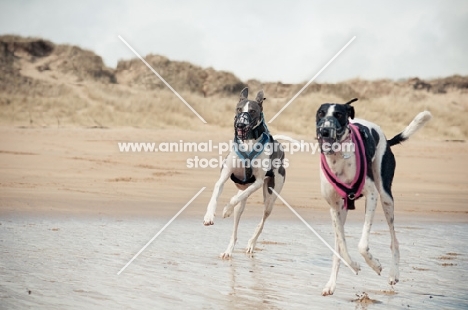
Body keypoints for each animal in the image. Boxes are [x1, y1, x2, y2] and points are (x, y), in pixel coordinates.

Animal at [205, 87, 288, 260]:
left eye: (252, 111)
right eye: (238, 109)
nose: (241, 125)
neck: (248, 143)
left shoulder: (257, 182)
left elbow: (236, 198)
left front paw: (226, 209)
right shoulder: (223, 177)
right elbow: (215, 195)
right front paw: (209, 216)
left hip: (270, 198)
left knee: (262, 220)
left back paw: (251, 243)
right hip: (242, 208)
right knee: (235, 229)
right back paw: (229, 250)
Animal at [316, 98, 434, 296]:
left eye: (339, 114)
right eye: (320, 114)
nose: (325, 131)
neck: (339, 158)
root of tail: (385, 138)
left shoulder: (372, 196)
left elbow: (362, 246)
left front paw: (375, 265)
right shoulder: (334, 207)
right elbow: (343, 249)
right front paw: (354, 266)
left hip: (386, 197)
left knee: (394, 241)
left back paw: (394, 274)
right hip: (343, 211)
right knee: (338, 248)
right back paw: (331, 284)